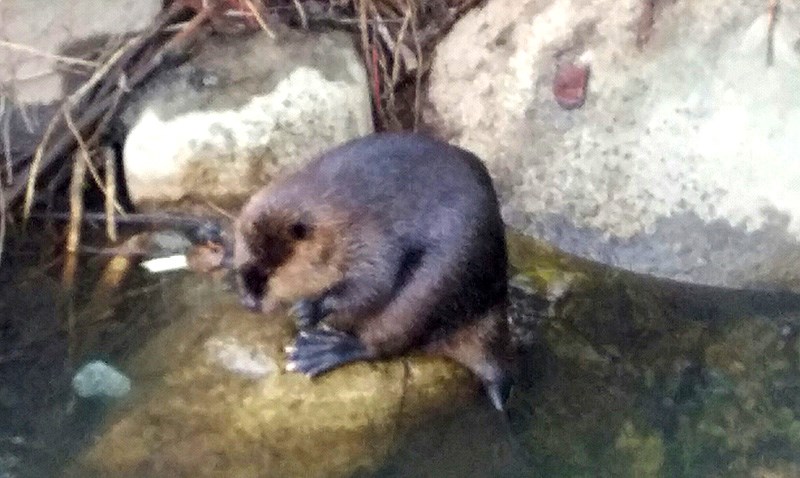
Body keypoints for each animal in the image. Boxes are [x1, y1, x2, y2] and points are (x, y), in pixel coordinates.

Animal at [234, 132, 516, 410]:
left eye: (269, 271)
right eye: (244, 267)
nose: (250, 302)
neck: (334, 210)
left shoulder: (370, 237)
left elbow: (376, 283)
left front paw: (307, 309)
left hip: (433, 288)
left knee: (386, 339)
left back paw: (317, 351)